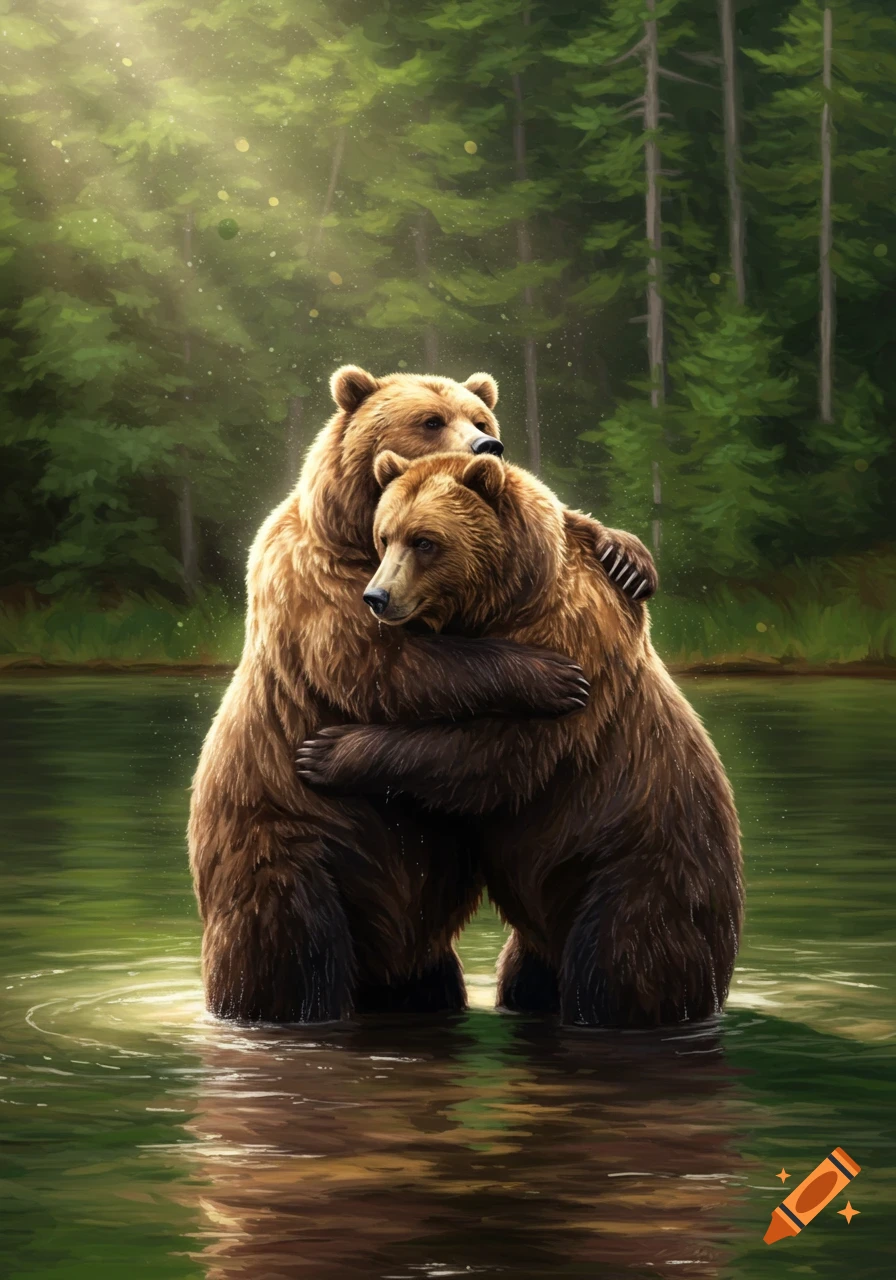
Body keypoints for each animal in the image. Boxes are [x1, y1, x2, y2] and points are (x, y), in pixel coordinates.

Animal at [188, 366, 653, 1025]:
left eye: (481, 419)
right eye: (431, 421)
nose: (489, 446)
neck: (359, 536)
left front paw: (627, 556)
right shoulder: (317, 582)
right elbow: (386, 665)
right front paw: (549, 674)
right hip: (285, 843)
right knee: (289, 950)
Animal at [296, 450, 743, 1029]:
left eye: (425, 541)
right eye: (384, 536)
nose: (376, 596)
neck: (509, 596)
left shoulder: (572, 639)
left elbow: (491, 757)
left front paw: (327, 752)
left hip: (639, 875)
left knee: (618, 968)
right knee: (527, 975)